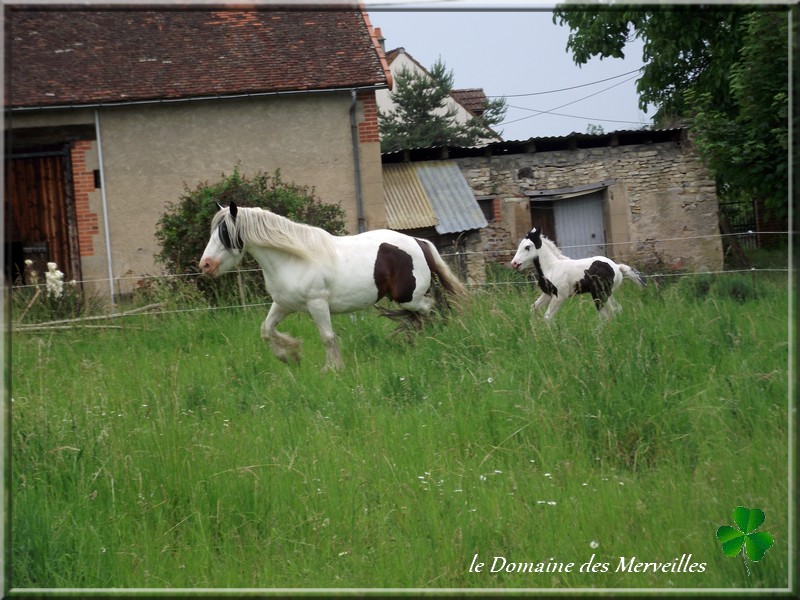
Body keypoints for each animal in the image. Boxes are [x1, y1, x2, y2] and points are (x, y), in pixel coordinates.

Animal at [198, 203, 468, 370]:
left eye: (226, 234)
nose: (205, 265)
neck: (293, 258)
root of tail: (419, 241)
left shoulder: (317, 303)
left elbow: (327, 337)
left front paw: (331, 368)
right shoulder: (283, 304)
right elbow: (266, 330)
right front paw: (290, 355)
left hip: (409, 297)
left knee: (430, 309)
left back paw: (429, 341)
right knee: (423, 315)